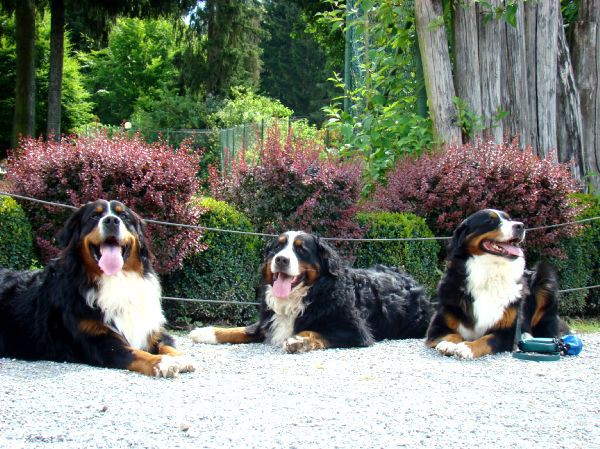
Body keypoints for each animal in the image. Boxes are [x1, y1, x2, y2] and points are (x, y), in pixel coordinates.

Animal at [0, 198, 195, 376]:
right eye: (94, 216)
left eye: (124, 216)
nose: (111, 220)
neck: (115, 279)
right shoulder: (97, 340)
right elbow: (135, 353)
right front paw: (161, 362)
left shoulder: (151, 330)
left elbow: (166, 345)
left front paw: (181, 358)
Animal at [190, 231, 428, 354]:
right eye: (277, 248)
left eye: (301, 249)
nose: (281, 259)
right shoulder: (268, 321)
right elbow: (240, 330)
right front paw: (206, 332)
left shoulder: (355, 331)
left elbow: (314, 331)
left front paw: (297, 341)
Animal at [426, 208, 564, 358]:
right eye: (491, 221)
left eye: (509, 219)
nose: (520, 226)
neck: (490, 274)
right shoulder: (437, 327)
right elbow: (452, 335)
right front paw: (448, 344)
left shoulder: (508, 333)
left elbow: (486, 340)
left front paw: (467, 347)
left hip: (544, 274)